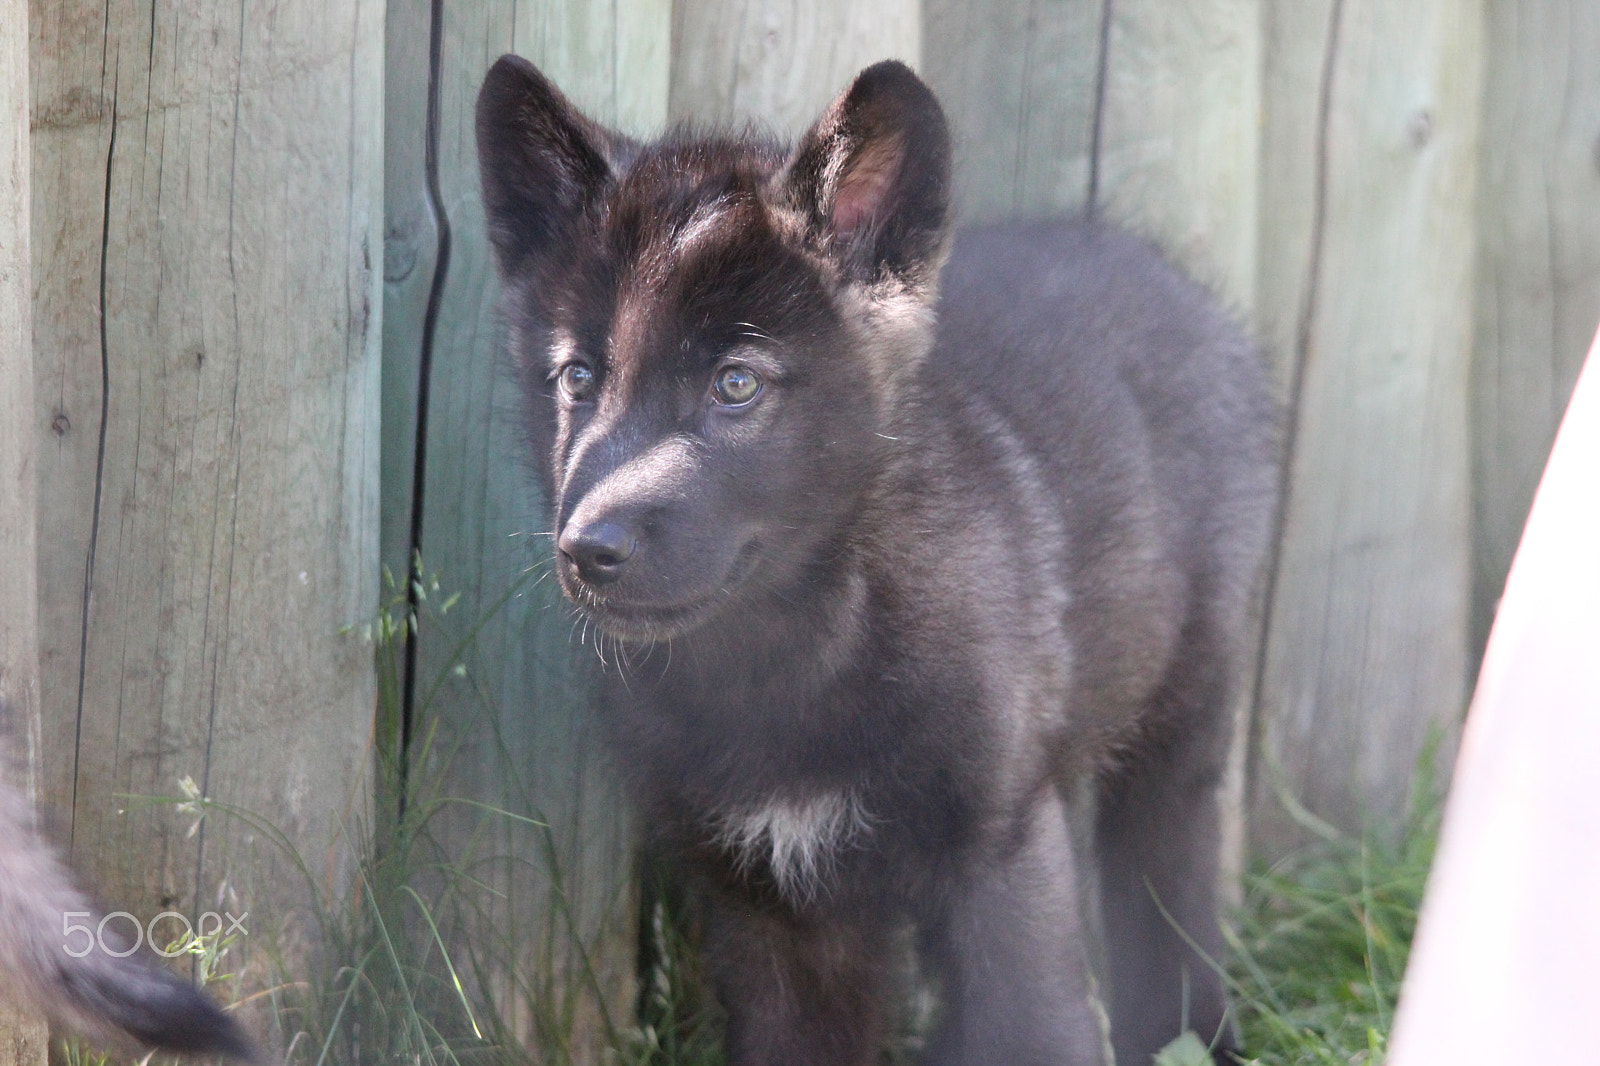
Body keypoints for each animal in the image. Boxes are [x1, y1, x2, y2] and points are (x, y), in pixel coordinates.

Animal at [477, 55, 1278, 1066]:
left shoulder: (1000, 853)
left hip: (1182, 709)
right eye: (578, 379)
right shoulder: (773, 909)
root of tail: (1168, 278)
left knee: (1168, 873)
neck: (788, 665)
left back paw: (1194, 1031)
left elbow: (1039, 1027)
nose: (589, 550)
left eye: (736, 384)